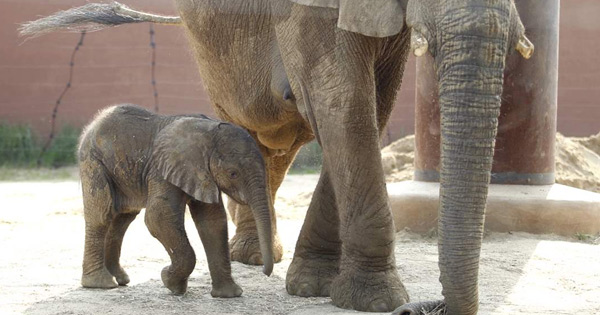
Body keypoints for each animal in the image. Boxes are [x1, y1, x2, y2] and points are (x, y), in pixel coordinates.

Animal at [78, 105, 274, 298]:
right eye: (233, 173)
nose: (265, 272)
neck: (208, 131)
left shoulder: (202, 173)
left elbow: (212, 221)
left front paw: (229, 295)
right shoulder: (161, 169)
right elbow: (158, 216)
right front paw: (170, 281)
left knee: (122, 219)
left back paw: (120, 279)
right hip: (93, 161)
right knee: (101, 215)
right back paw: (101, 284)